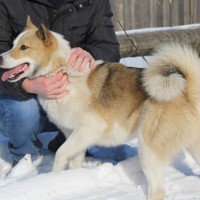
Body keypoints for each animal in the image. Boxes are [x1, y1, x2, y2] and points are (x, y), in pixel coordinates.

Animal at [0, 17, 200, 200]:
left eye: (23, 47)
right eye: (13, 44)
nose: (0, 57)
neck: (61, 70)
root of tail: (187, 90)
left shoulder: (89, 129)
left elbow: (60, 154)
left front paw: (53, 178)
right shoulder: (75, 137)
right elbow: (74, 162)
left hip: (148, 150)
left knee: (157, 190)